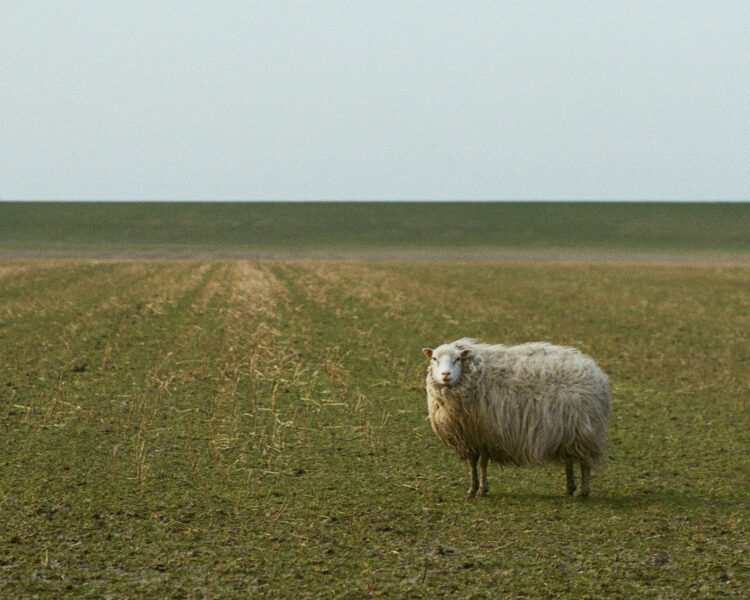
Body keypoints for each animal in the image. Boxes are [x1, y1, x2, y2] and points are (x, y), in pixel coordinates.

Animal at [424, 338, 612, 496]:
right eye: (434, 359)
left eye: (458, 359)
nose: (445, 375)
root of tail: (596, 373)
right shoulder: (470, 437)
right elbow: (472, 463)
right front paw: (472, 489)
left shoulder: (484, 435)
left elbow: (482, 463)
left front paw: (482, 490)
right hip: (567, 430)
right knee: (569, 459)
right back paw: (569, 488)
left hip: (584, 429)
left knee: (585, 463)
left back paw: (583, 491)